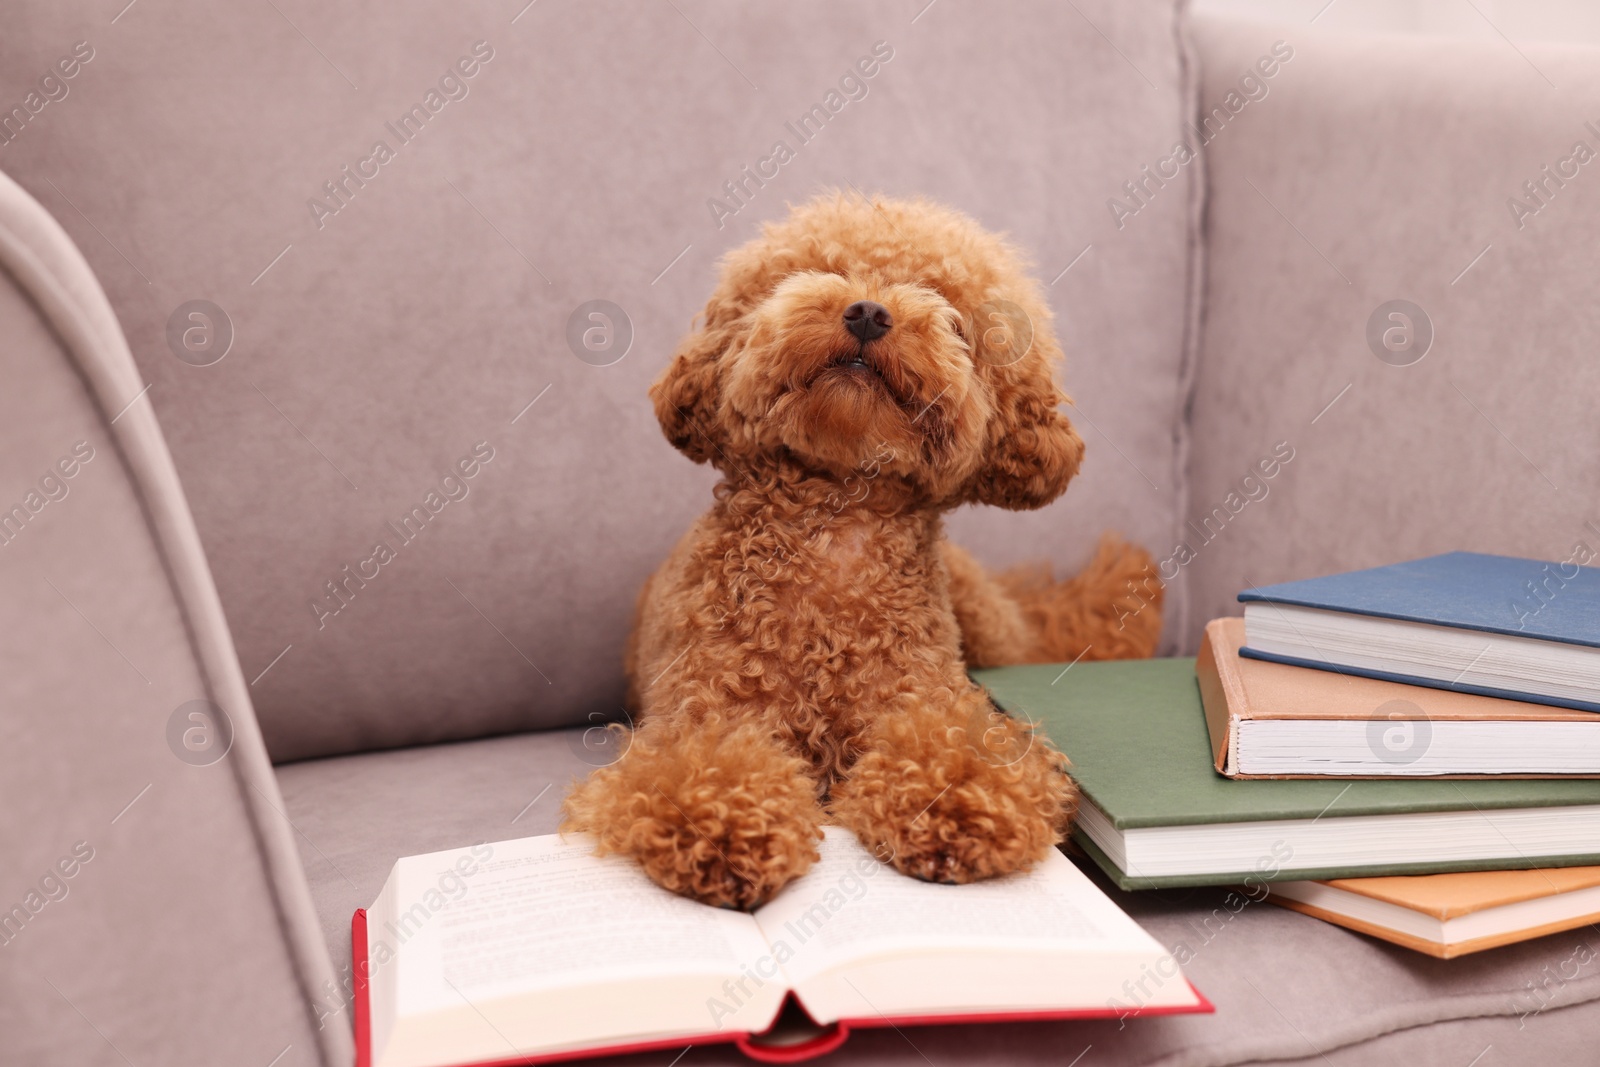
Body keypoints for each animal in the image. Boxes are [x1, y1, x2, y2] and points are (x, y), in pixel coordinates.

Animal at [563, 191, 1164, 908]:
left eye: (945, 304)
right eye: (815, 272)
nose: (869, 312)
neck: (838, 532)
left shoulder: (927, 699)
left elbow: (954, 754)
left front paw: (957, 811)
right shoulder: (704, 709)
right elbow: (714, 763)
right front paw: (729, 827)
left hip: (993, 635)